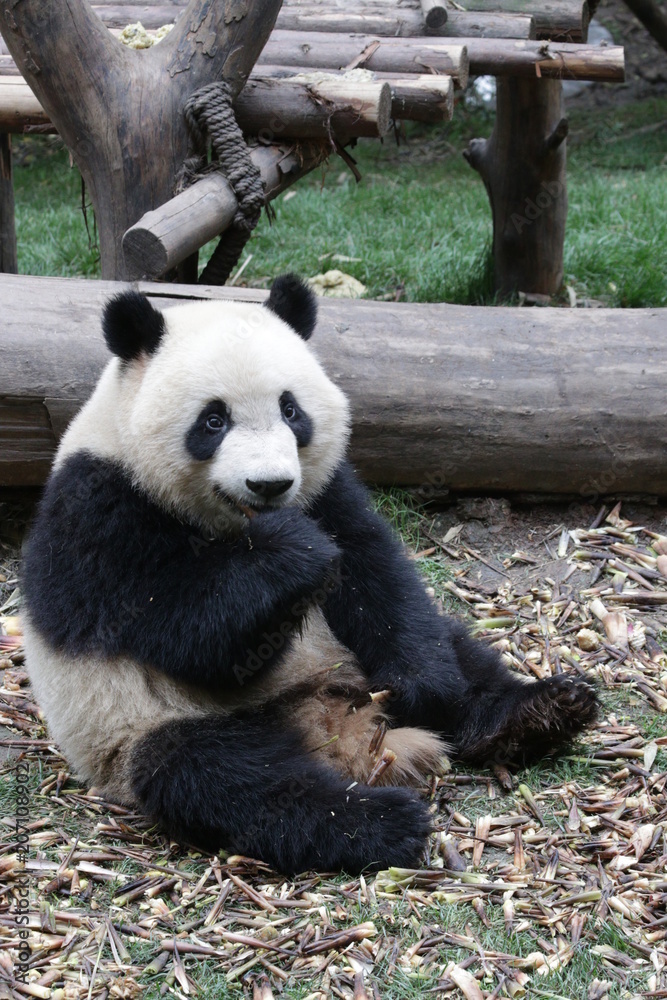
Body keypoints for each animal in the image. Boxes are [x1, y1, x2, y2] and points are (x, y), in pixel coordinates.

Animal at [22, 274, 598, 875]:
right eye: (213, 420)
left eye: (291, 410)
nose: (270, 484)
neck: (233, 521)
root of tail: (332, 724)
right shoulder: (98, 509)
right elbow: (186, 634)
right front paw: (291, 553)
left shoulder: (326, 488)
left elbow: (377, 574)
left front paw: (423, 683)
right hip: (141, 725)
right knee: (229, 779)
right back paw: (376, 822)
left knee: (456, 648)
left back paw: (539, 711)